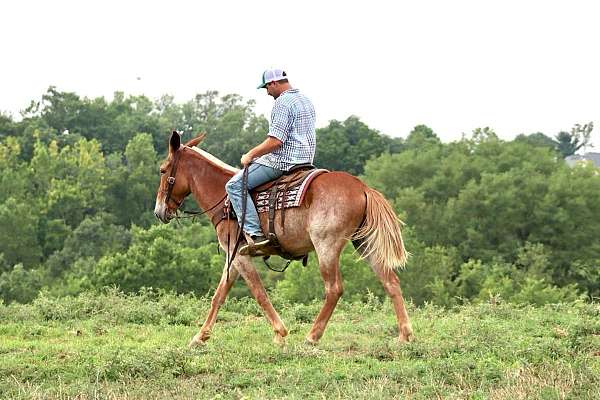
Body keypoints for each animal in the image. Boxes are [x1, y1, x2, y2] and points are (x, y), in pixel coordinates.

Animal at [154, 132, 412, 346]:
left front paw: (280, 333)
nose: (159, 211)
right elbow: (219, 295)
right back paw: (404, 335)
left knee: (334, 289)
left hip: (326, 245)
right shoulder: (234, 256)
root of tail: (362, 187)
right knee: (390, 281)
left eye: (163, 170)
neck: (224, 198)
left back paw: (312, 336)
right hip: (364, 244)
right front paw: (200, 337)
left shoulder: (238, 254)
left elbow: (259, 292)